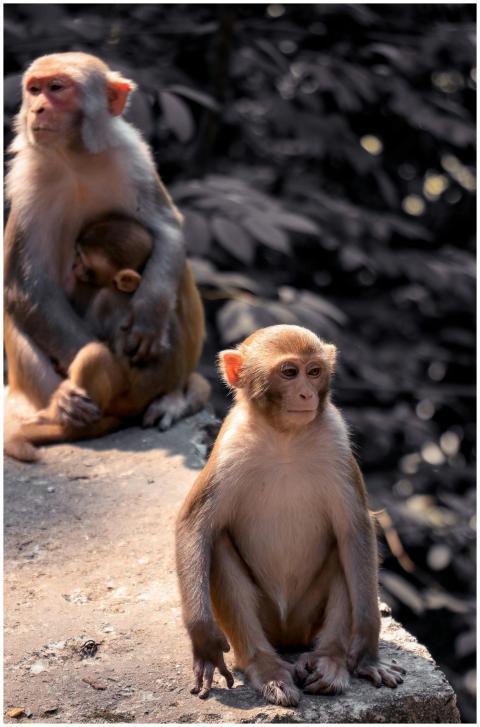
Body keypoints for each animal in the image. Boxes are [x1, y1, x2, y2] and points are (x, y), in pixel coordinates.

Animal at [4, 52, 196, 436]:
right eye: (34, 89)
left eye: (56, 88)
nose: (37, 109)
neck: (75, 157)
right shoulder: (26, 180)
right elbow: (28, 286)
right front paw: (93, 379)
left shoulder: (133, 157)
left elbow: (168, 229)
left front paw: (149, 315)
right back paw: (55, 408)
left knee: (176, 273)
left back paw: (171, 397)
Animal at [176, 325, 406, 705]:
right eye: (288, 372)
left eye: (314, 372)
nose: (305, 393)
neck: (285, 438)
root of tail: (287, 637)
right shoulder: (229, 447)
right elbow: (195, 526)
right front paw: (204, 639)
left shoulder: (336, 440)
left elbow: (355, 530)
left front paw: (368, 652)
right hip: (268, 622)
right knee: (218, 544)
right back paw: (266, 668)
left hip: (305, 621)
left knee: (344, 550)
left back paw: (329, 661)